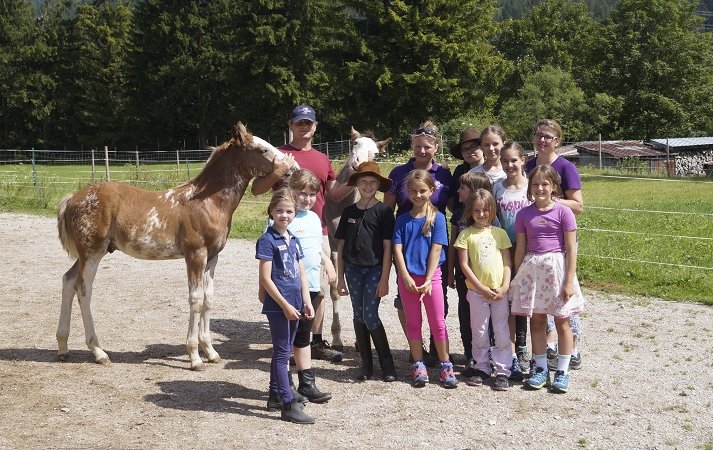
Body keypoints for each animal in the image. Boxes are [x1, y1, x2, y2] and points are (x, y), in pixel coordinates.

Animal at [56, 121, 298, 370]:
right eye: (262, 149)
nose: (293, 167)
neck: (206, 202)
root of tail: (72, 198)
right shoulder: (195, 254)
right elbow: (196, 300)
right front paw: (195, 357)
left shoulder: (212, 257)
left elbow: (208, 298)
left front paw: (210, 352)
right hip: (92, 253)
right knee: (83, 290)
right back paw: (98, 352)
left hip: (88, 254)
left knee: (68, 280)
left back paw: (63, 348)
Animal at [322, 128, 390, 350]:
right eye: (355, 143)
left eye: (375, 152)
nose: (359, 162)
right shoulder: (335, 245)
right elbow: (336, 290)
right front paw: (336, 338)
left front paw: (361, 342)